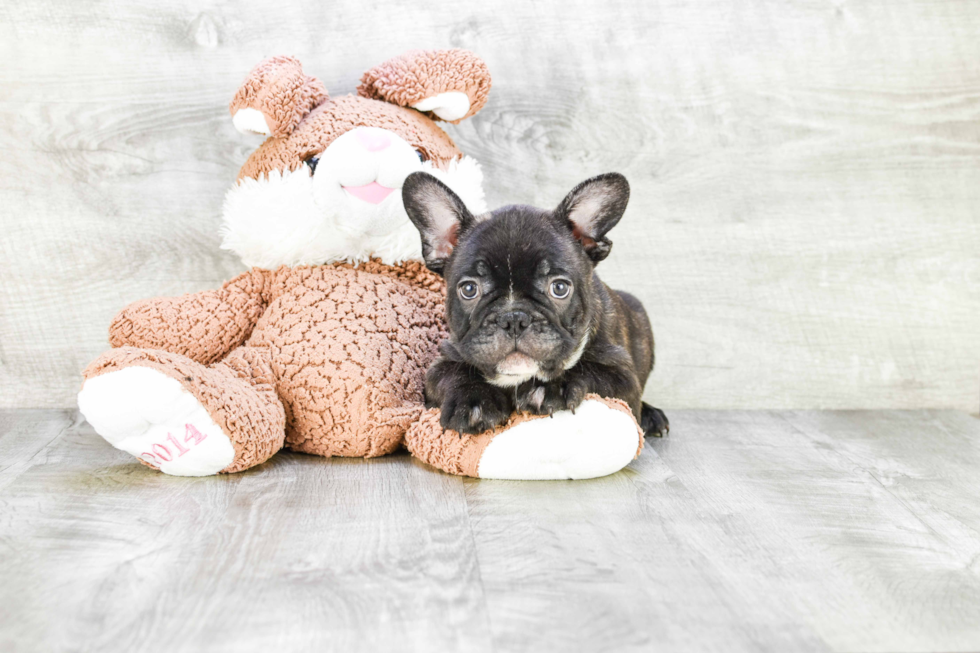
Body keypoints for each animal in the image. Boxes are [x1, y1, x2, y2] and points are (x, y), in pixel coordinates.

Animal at [398, 173, 668, 438]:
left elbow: (589, 369)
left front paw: (551, 388)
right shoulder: (440, 363)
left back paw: (653, 416)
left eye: (559, 288)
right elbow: (455, 373)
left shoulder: (625, 379)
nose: (514, 318)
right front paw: (473, 400)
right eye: (469, 289)